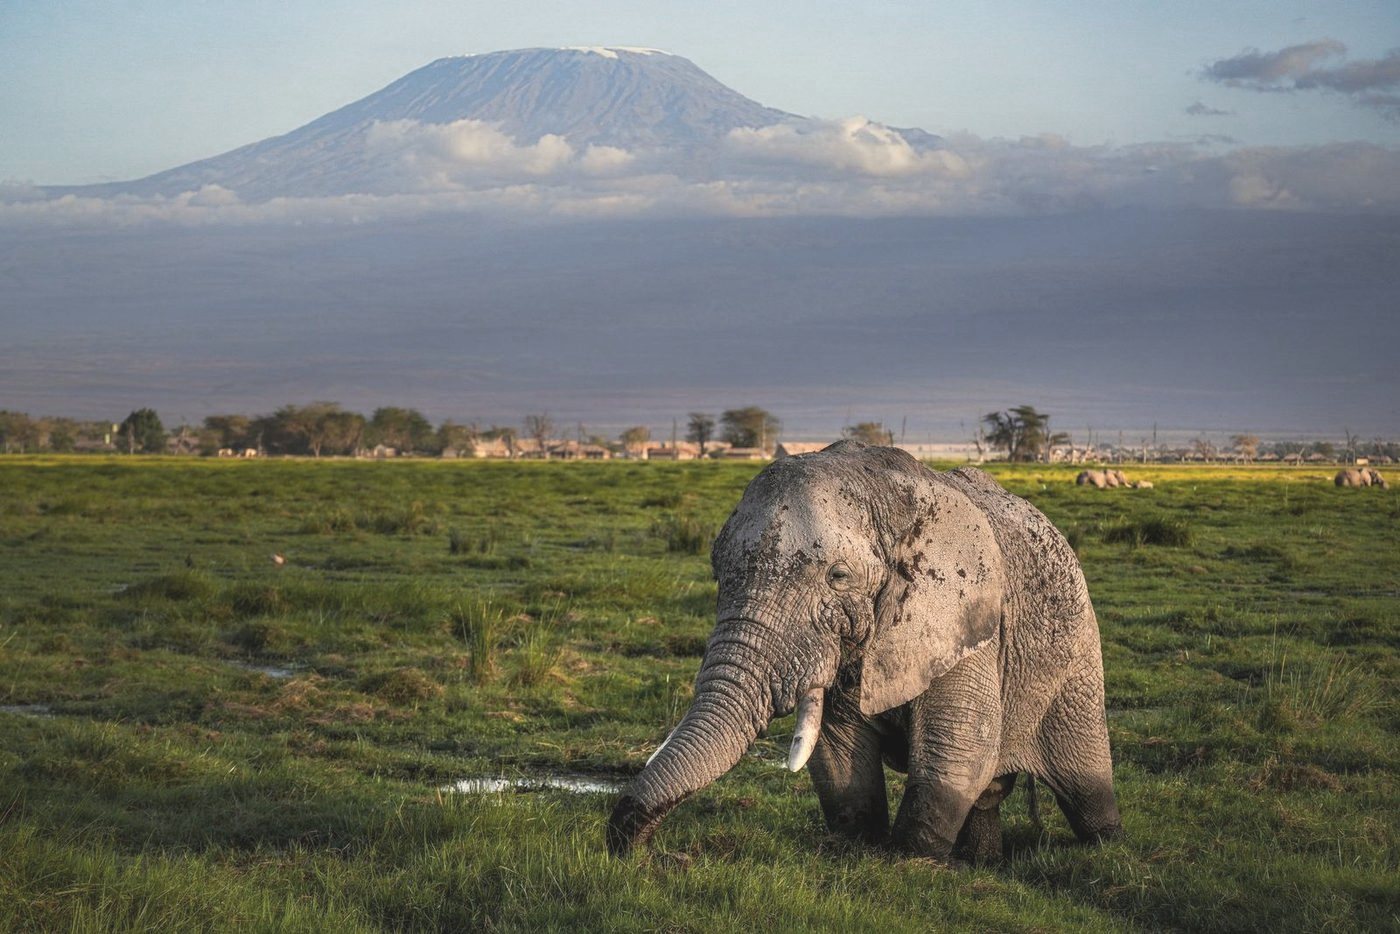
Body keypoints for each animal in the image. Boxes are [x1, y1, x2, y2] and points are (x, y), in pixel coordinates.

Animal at [608, 441, 1123, 864]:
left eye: (838, 576)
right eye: (717, 572)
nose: (646, 853)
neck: (884, 491)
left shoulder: (967, 623)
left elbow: (957, 749)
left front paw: (911, 861)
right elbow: (840, 755)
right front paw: (860, 846)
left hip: (1077, 646)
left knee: (1084, 787)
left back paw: (1104, 848)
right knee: (991, 793)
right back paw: (983, 863)